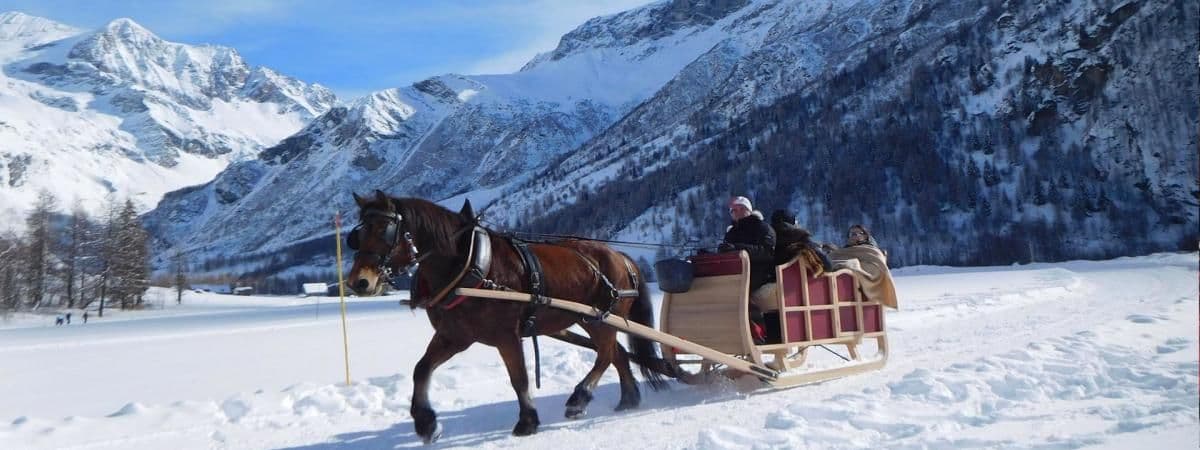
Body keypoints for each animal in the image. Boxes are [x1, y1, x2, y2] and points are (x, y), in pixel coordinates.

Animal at [345, 190, 668, 442]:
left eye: (384, 229)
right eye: (358, 234)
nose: (359, 282)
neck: (469, 266)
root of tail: (621, 256)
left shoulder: (506, 336)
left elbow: (519, 378)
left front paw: (527, 421)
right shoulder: (454, 336)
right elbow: (421, 369)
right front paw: (426, 423)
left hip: (600, 318)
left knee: (605, 354)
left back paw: (580, 398)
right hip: (590, 320)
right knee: (617, 353)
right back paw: (628, 399)